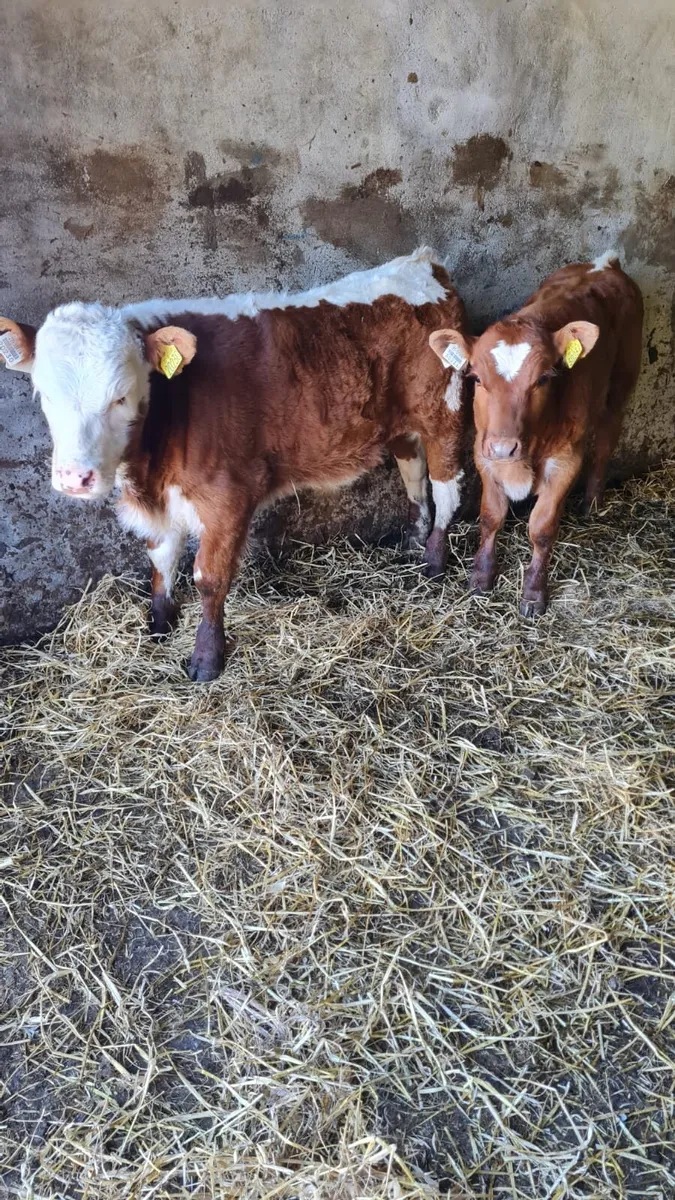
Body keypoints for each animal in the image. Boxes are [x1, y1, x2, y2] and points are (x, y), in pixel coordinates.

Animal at [0, 248, 469, 680]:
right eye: (44, 394)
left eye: (120, 396)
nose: (75, 478)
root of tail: (422, 262)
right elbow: (161, 560)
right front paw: (159, 624)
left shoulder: (228, 497)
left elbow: (209, 577)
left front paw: (207, 659)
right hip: (401, 424)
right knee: (414, 477)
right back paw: (413, 544)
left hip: (443, 411)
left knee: (447, 487)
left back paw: (433, 562)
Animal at [428, 251, 643, 617]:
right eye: (476, 378)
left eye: (543, 379)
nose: (505, 447)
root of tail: (605, 263)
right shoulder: (483, 451)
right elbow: (491, 517)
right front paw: (481, 577)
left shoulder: (566, 460)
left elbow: (542, 528)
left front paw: (533, 592)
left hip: (620, 386)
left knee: (605, 443)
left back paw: (591, 504)